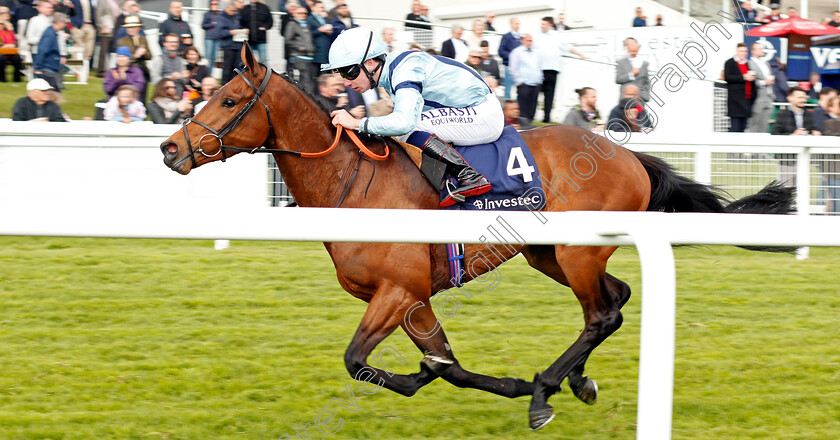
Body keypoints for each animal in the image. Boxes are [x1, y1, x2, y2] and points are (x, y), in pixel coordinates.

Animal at [159, 46, 796, 432]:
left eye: (230, 99)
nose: (170, 148)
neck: (351, 182)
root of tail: (629, 155)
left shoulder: (400, 289)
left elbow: (359, 361)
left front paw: (493, 385)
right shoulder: (410, 297)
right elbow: (446, 364)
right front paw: (470, 379)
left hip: (575, 252)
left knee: (601, 313)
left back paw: (545, 390)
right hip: (551, 254)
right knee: (614, 300)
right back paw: (576, 381)